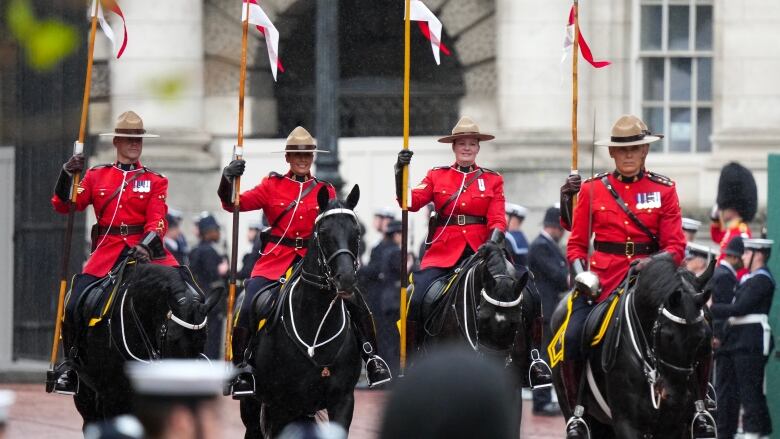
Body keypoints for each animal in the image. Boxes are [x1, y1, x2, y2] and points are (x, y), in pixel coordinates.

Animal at [241, 186, 366, 439]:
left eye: (357, 232)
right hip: (254, 406)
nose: (347, 279)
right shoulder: (280, 405)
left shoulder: (342, 401)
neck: (315, 321)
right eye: (323, 232)